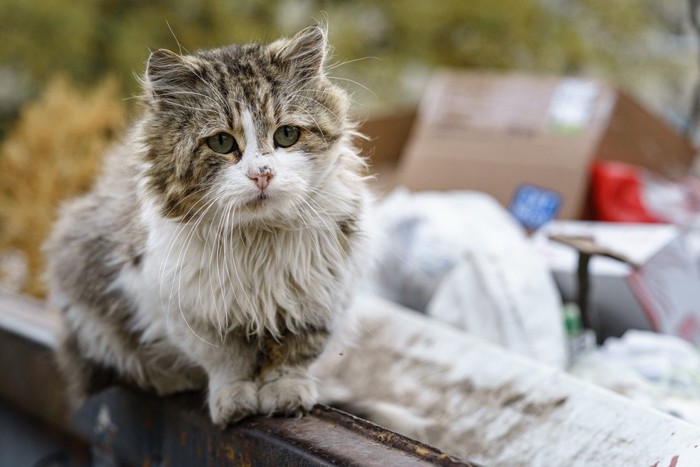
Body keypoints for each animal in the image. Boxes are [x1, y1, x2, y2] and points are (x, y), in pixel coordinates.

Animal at [43, 26, 372, 428]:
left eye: (287, 135)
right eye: (221, 142)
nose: (262, 174)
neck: (257, 242)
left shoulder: (318, 299)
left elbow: (293, 355)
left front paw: (285, 394)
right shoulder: (184, 308)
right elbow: (226, 361)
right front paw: (235, 401)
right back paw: (169, 381)